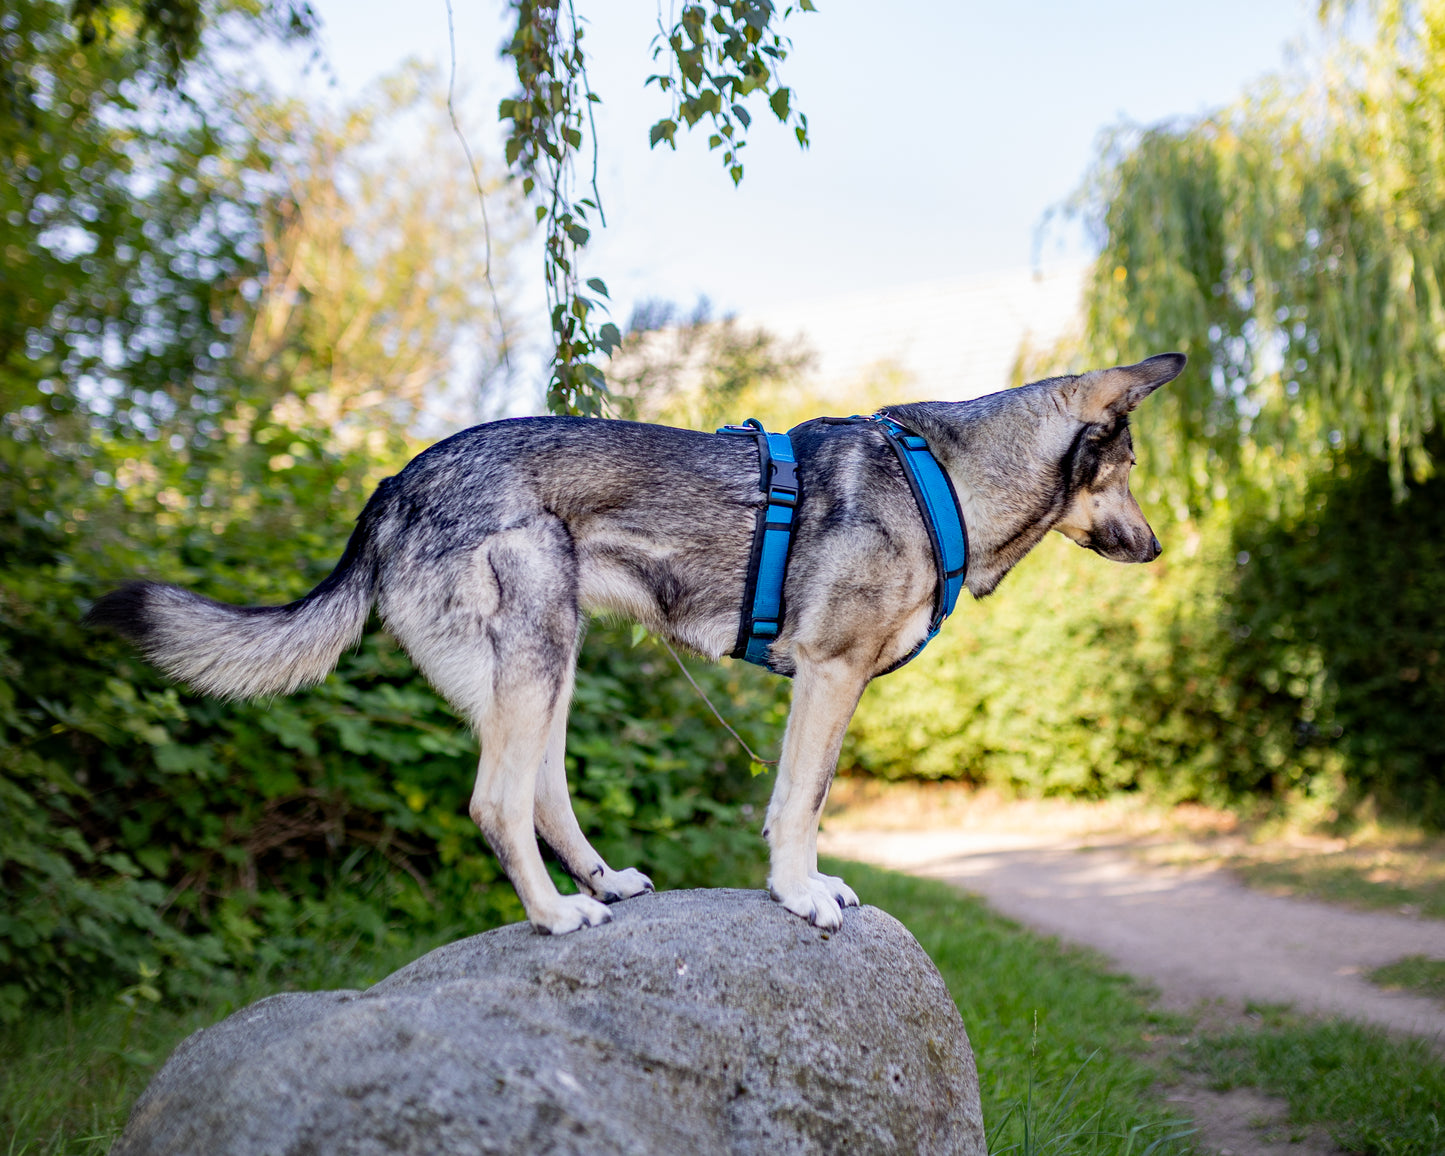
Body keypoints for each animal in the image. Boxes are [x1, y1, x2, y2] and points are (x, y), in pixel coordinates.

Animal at [87, 349, 1184, 930]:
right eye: (1127, 470)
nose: (1157, 547)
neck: (947, 485)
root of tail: (394, 482)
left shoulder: (824, 686)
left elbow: (793, 801)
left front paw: (798, 883)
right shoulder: (828, 676)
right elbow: (802, 801)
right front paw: (799, 893)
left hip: (546, 665)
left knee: (540, 791)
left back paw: (602, 881)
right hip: (533, 656)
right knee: (495, 801)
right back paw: (555, 915)